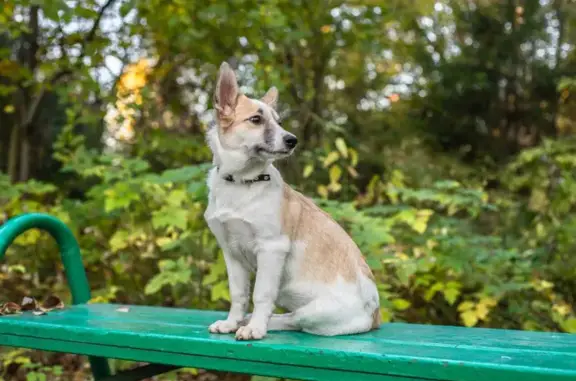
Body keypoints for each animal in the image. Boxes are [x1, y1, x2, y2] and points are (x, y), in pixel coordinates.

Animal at [205, 61, 380, 338]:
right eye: (256, 120)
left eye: (279, 122)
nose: (292, 140)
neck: (241, 182)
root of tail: (375, 315)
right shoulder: (231, 253)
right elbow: (239, 294)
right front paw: (231, 322)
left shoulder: (271, 249)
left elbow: (261, 295)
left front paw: (255, 328)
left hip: (315, 312)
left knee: (294, 320)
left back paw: (259, 324)